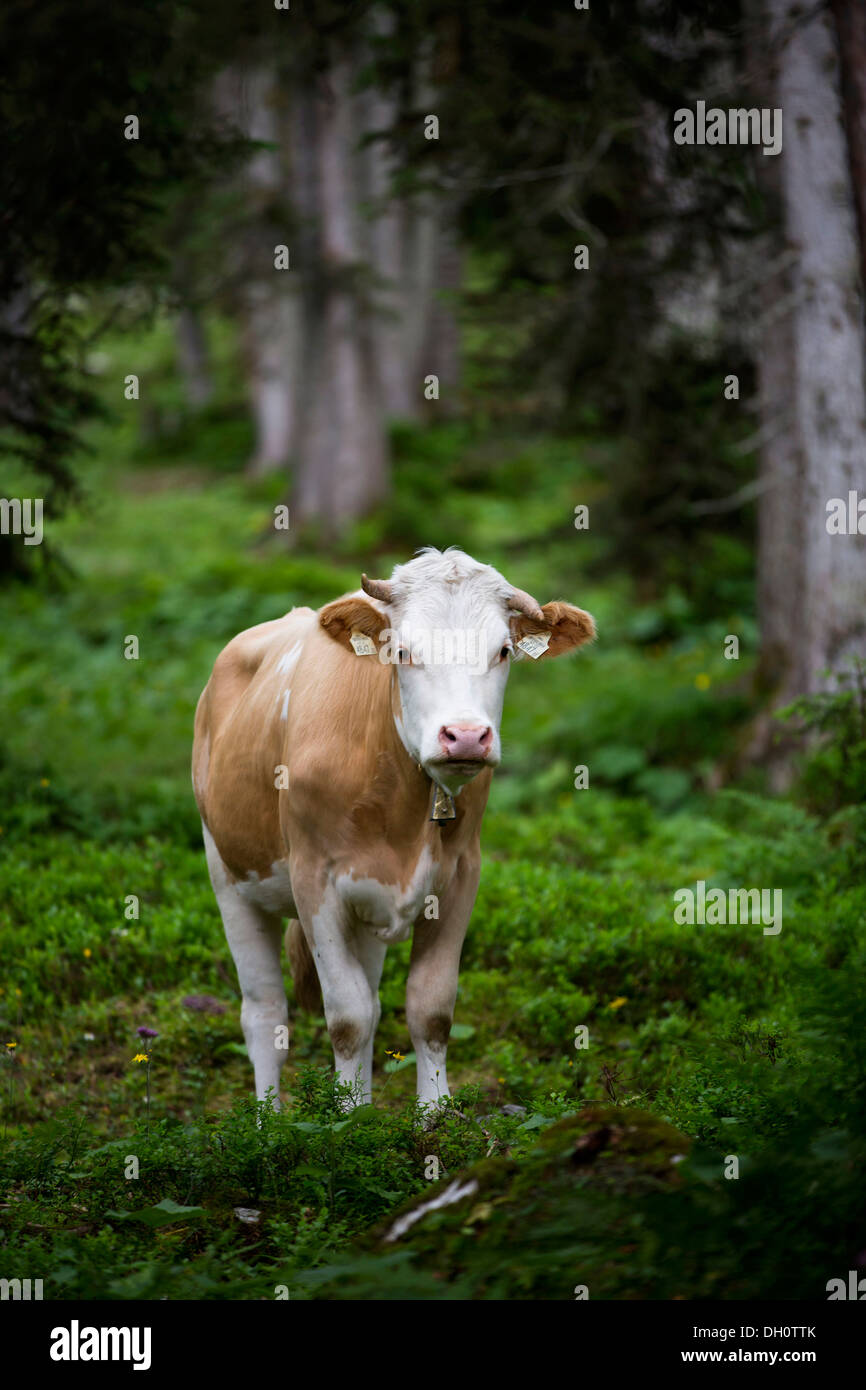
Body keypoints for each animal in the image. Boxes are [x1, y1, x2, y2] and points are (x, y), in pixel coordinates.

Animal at [191, 547, 594, 1112]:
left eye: (504, 651)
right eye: (402, 651)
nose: (465, 736)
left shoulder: (460, 876)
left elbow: (429, 1007)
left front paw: (432, 1117)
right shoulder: (314, 881)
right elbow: (347, 1017)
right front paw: (346, 1122)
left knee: (373, 1000)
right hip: (227, 873)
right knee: (265, 1014)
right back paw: (268, 1120)